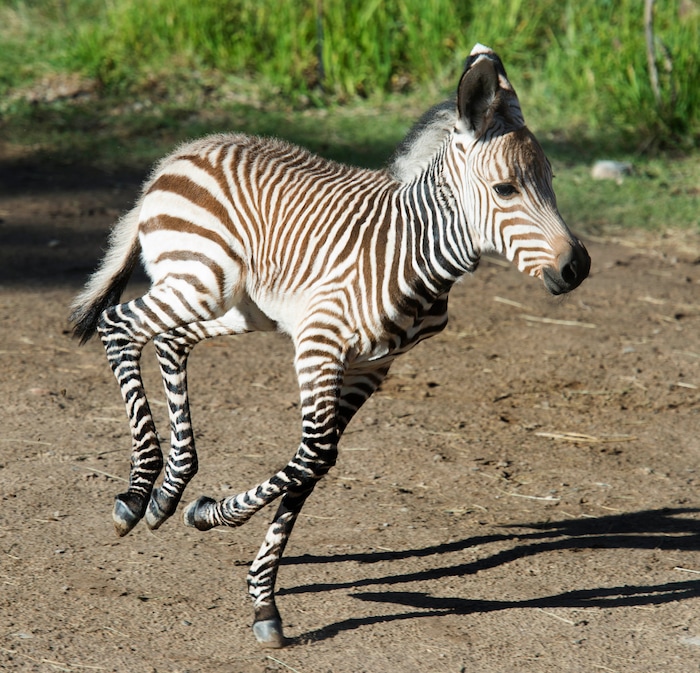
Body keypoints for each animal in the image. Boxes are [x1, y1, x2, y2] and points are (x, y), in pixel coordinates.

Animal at [70, 44, 590, 648]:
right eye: (506, 189)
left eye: (549, 180)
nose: (577, 268)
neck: (414, 252)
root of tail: (182, 154)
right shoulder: (319, 345)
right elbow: (315, 454)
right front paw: (212, 520)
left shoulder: (373, 367)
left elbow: (313, 466)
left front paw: (259, 593)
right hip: (201, 282)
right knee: (118, 325)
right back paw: (136, 495)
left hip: (238, 306)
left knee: (170, 341)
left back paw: (169, 489)